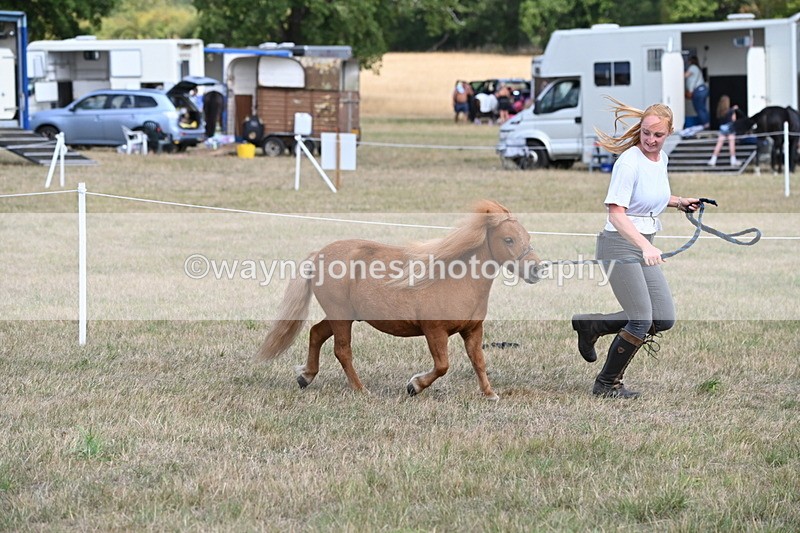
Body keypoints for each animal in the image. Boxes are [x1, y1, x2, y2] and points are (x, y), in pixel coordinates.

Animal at [256, 200, 544, 400]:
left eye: (528, 237)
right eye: (508, 239)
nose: (537, 270)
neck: (457, 280)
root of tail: (319, 254)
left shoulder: (473, 330)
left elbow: (479, 362)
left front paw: (489, 393)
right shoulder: (434, 331)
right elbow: (442, 365)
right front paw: (414, 386)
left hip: (343, 315)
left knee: (316, 333)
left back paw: (306, 377)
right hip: (340, 316)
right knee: (342, 350)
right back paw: (360, 389)